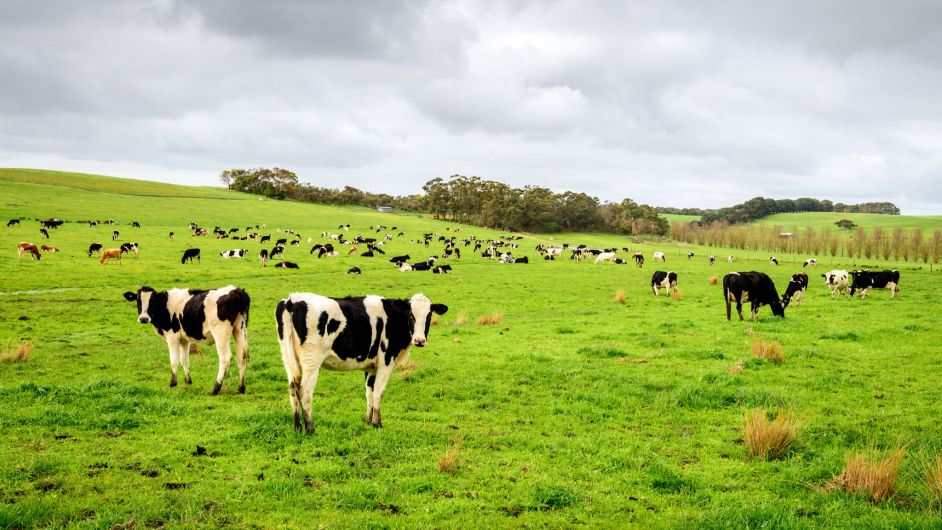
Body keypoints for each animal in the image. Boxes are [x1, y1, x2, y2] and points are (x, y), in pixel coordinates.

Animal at [123, 284, 253, 392]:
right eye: (138, 301)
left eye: (152, 301)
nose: (143, 318)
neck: (165, 306)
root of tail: (236, 290)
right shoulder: (184, 339)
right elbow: (184, 359)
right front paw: (187, 381)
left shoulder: (172, 337)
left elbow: (174, 360)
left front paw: (173, 383)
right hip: (240, 329)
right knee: (241, 356)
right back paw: (241, 388)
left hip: (220, 333)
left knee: (225, 358)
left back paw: (216, 388)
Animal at [274, 290, 448, 432]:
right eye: (411, 315)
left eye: (429, 315)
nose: (419, 340)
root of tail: (292, 299)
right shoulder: (385, 362)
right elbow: (378, 392)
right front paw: (377, 423)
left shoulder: (371, 367)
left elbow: (369, 392)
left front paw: (368, 420)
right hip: (311, 361)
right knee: (305, 391)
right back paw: (310, 429)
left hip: (288, 359)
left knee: (292, 388)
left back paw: (296, 427)